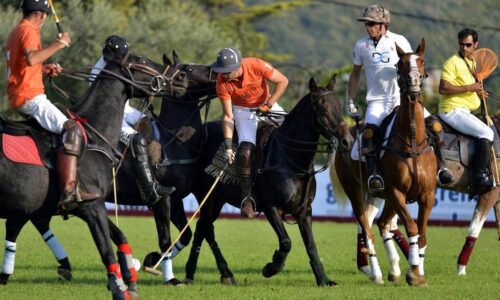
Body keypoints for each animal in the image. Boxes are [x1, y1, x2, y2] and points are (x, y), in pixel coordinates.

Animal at [0, 51, 188, 298]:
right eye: (142, 61)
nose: (181, 78)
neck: (94, 135)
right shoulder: (91, 206)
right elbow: (108, 249)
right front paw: (121, 287)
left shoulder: (92, 205)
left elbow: (120, 237)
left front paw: (131, 279)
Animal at [180, 75, 352, 286]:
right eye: (321, 107)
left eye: (339, 105)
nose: (347, 141)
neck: (291, 160)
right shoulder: (271, 207)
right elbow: (286, 242)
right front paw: (271, 267)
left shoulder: (304, 210)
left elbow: (311, 245)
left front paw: (323, 279)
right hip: (206, 195)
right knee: (204, 228)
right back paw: (200, 273)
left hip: (217, 199)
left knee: (202, 228)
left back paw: (207, 274)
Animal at [332, 38, 434, 288]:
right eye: (401, 64)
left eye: (421, 61)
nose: (414, 84)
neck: (412, 141)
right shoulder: (397, 191)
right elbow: (412, 227)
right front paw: (413, 273)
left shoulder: (427, 194)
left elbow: (422, 233)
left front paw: (418, 273)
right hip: (357, 192)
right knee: (366, 229)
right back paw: (377, 274)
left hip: (380, 197)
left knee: (381, 224)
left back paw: (393, 270)